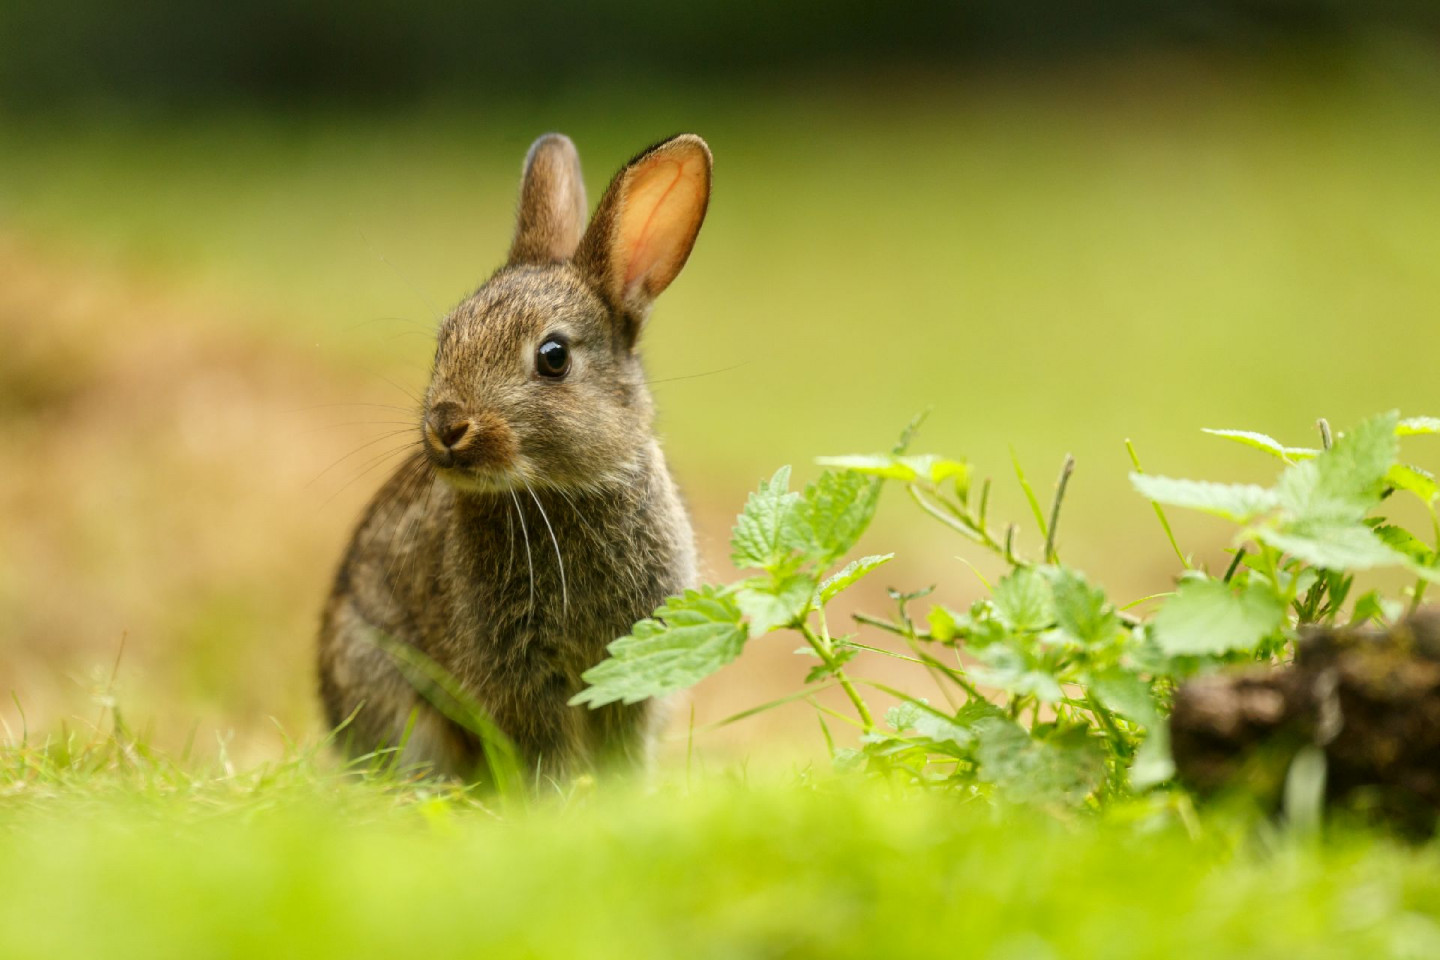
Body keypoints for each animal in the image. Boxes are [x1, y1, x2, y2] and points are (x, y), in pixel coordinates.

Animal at [321, 133, 714, 782]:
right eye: (445, 340)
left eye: (553, 357)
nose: (446, 426)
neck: (561, 491)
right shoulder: (516, 671)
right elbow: (542, 748)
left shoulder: (631, 660)